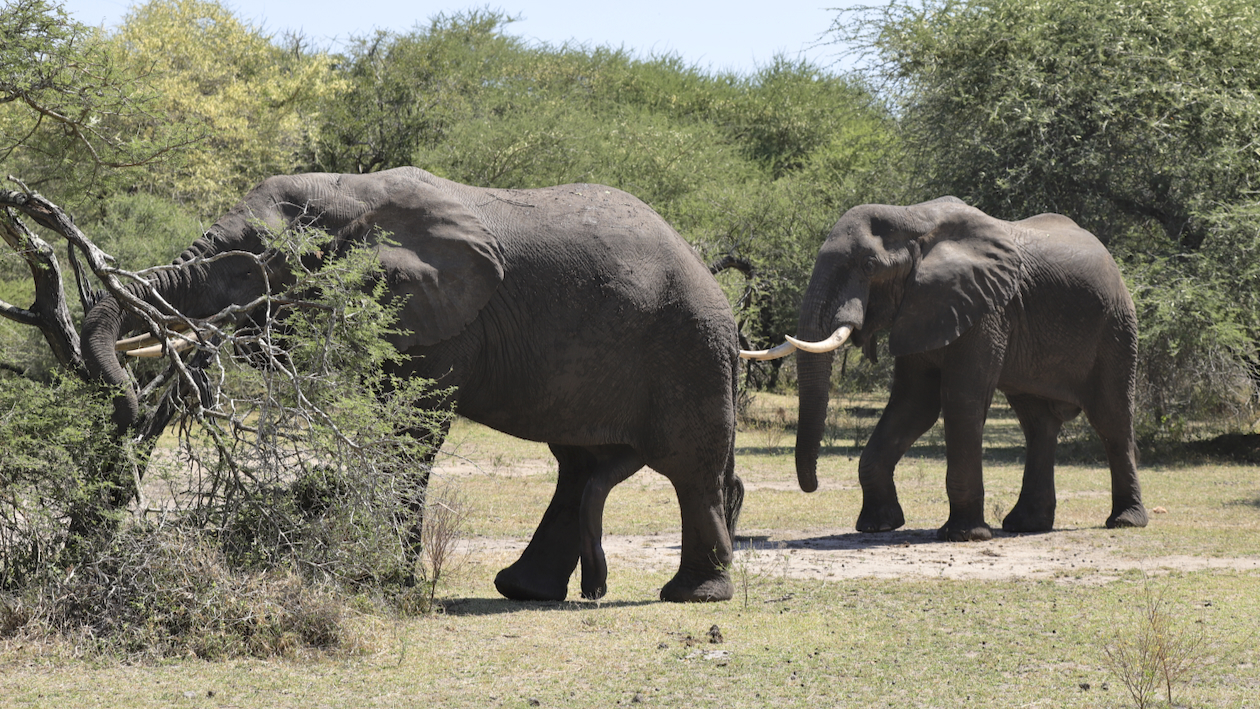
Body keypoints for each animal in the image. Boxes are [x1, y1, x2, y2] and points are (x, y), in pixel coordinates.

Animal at [81, 167, 745, 604]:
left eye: (254, 260)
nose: (128, 403)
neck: (354, 189)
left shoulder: (445, 317)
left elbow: (410, 431)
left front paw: (379, 584)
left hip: (689, 345)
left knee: (688, 467)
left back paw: (694, 595)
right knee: (580, 466)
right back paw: (525, 589)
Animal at [740, 196, 1149, 541]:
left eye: (869, 266)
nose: (812, 485)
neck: (912, 218)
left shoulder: (986, 309)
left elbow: (960, 402)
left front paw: (965, 535)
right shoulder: (920, 306)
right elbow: (913, 405)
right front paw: (877, 526)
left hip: (1116, 328)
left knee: (1112, 420)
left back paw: (1125, 522)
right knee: (1037, 424)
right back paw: (1025, 525)